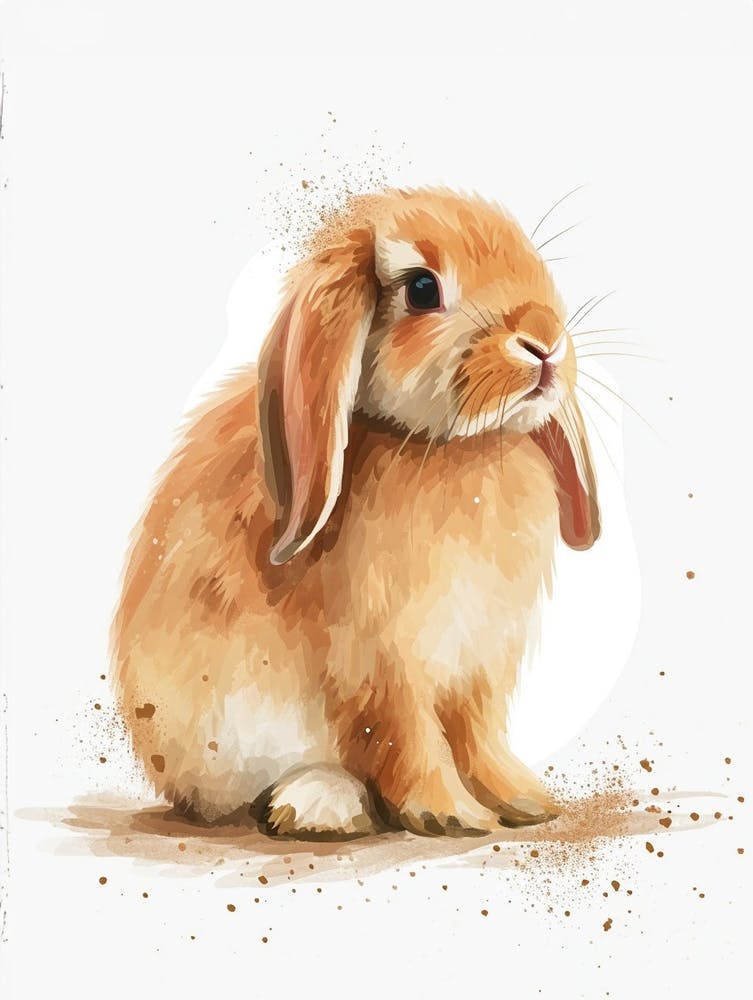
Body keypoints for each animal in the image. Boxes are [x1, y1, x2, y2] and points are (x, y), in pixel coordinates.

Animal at [113, 187, 600, 839]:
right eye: (421, 289)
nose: (543, 340)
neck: (452, 449)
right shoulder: (383, 667)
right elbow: (407, 739)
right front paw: (452, 815)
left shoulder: (478, 667)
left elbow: (478, 740)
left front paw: (524, 801)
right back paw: (321, 805)